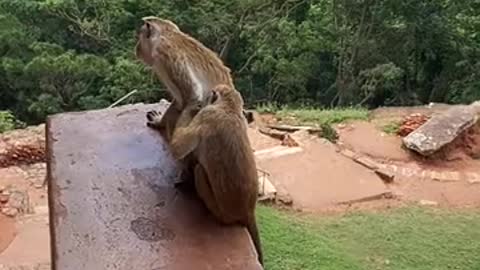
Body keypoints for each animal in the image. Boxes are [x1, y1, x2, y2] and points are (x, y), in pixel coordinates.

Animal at [166, 84, 262, 266]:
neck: (230, 108)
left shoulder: (206, 115)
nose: (206, 98)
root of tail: (247, 210)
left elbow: (178, 148)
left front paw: (191, 107)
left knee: (199, 170)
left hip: (221, 211)